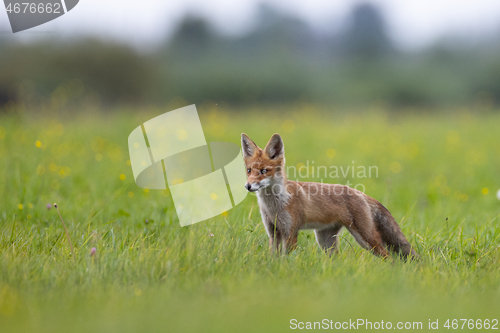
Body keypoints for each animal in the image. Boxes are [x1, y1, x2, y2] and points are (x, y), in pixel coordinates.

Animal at [242, 132, 418, 256]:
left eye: (264, 171)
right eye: (249, 170)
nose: (248, 186)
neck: (274, 206)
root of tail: (360, 193)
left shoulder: (290, 232)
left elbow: (286, 259)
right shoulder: (273, 233)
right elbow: (274, 258)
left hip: (366, 238)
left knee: (388, 256)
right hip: (325, 241)